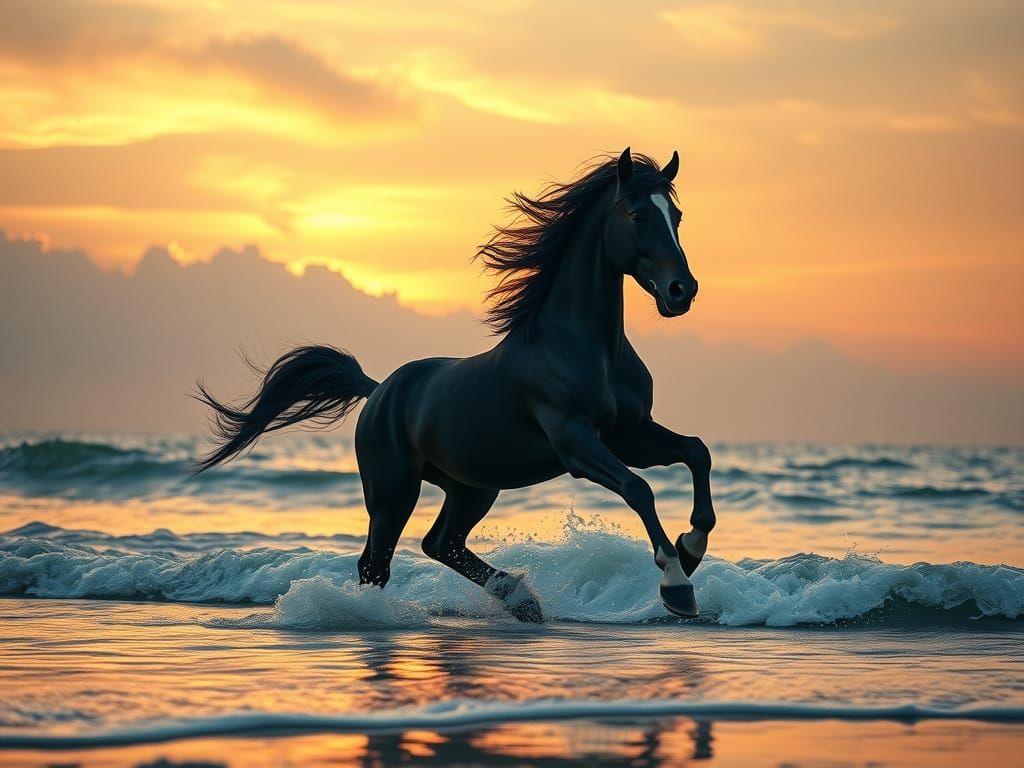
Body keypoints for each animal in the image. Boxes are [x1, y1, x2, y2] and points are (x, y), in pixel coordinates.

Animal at [194, 147, 716, 621]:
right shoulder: (573, 440)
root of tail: (378, 390)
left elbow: (696, 451)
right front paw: (677, 586)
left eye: (677, 215)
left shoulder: (629, 434)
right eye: (637, 214)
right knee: (376, 563)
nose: (682, 291)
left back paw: (521, 600)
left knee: (440, 543)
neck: (586, 348)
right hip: (392, 492)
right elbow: (638, 488)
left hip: (472, 487)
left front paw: (691, 548)